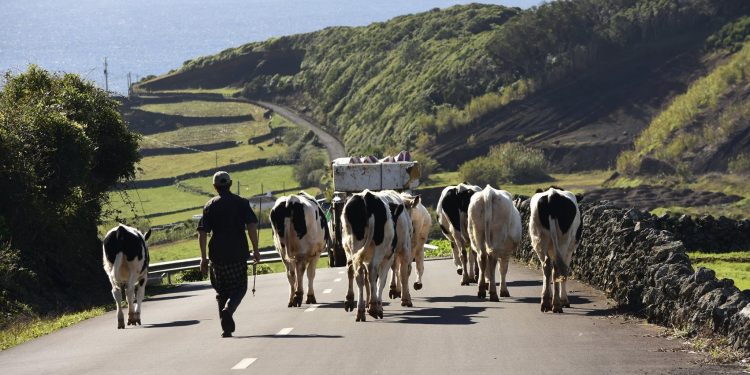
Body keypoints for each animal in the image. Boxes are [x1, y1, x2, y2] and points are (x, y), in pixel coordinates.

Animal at [342, 189, 402, 322]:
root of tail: (366, 196)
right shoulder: (387, 258)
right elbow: (381, 281)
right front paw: (376, 305)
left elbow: (367, 280)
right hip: (379, 250)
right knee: (372, 272)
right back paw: (375, 308)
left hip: (353, 246)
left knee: (356, 273)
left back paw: (358, 309)